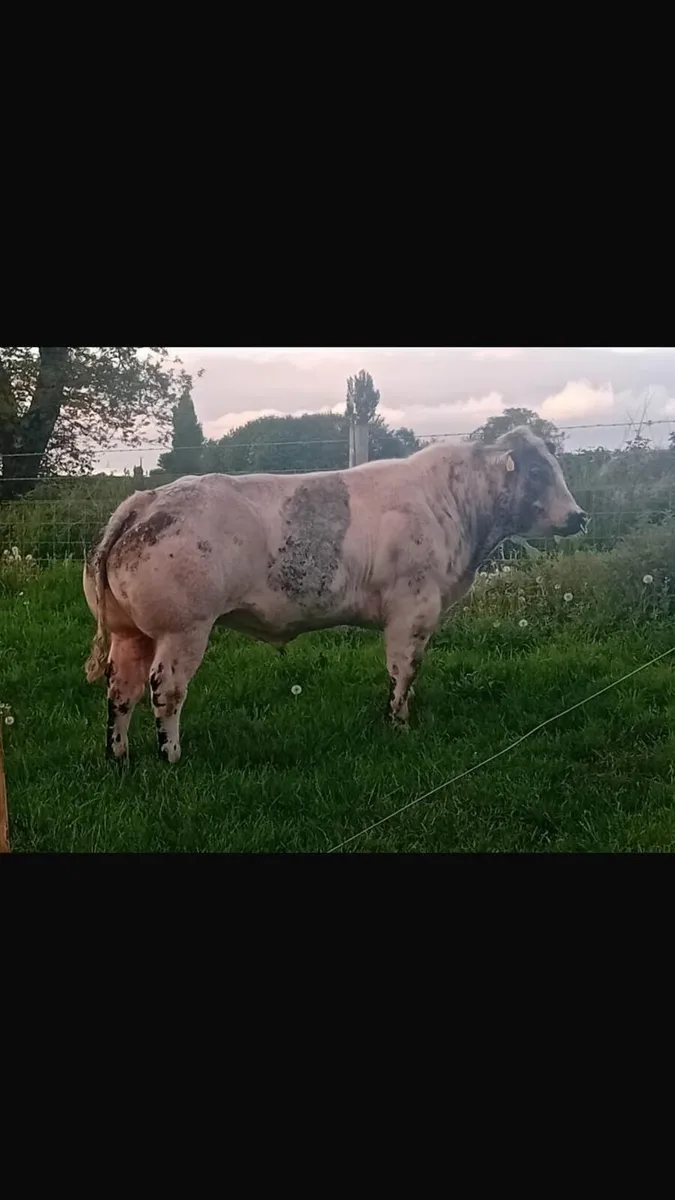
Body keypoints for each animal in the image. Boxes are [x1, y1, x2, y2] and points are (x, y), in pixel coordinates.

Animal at [83, 427, 586, 763]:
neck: (452, 506)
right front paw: (399, 725)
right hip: (182, 628)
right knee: (165, 690)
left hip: (131, 633)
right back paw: (171, 756)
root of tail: (146, 499)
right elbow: (404, 671)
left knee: (121, 690)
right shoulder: (413, 609)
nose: (579, 516)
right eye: (538, 470)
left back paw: (118, 756)